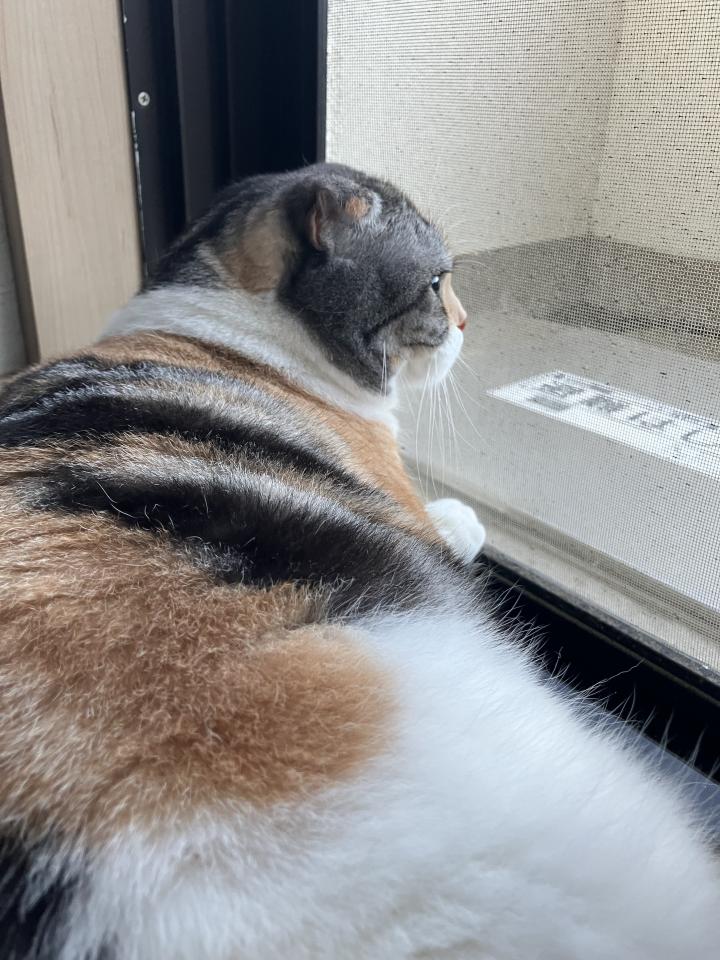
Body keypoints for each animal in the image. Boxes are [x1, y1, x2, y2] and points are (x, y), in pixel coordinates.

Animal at [0, 162, 717, 959]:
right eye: (436, 282)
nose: (467, 323)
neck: (230, 331)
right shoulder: (399, 494)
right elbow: (441, 522)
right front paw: (463, 517)